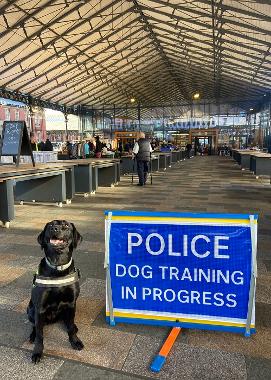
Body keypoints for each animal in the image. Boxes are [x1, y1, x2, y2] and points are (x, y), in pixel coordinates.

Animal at [27, 220, 84, 362]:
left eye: (66, 226)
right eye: (50, 226)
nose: (55, 228)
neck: (58, 266)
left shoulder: (71, 304)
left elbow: (70, 327)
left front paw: (75, 341)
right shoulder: (40, 308)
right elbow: (40, 335)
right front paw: (37, 352)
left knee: (69, 322)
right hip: (30, 310)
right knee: (35, 326)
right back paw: (32, 336)